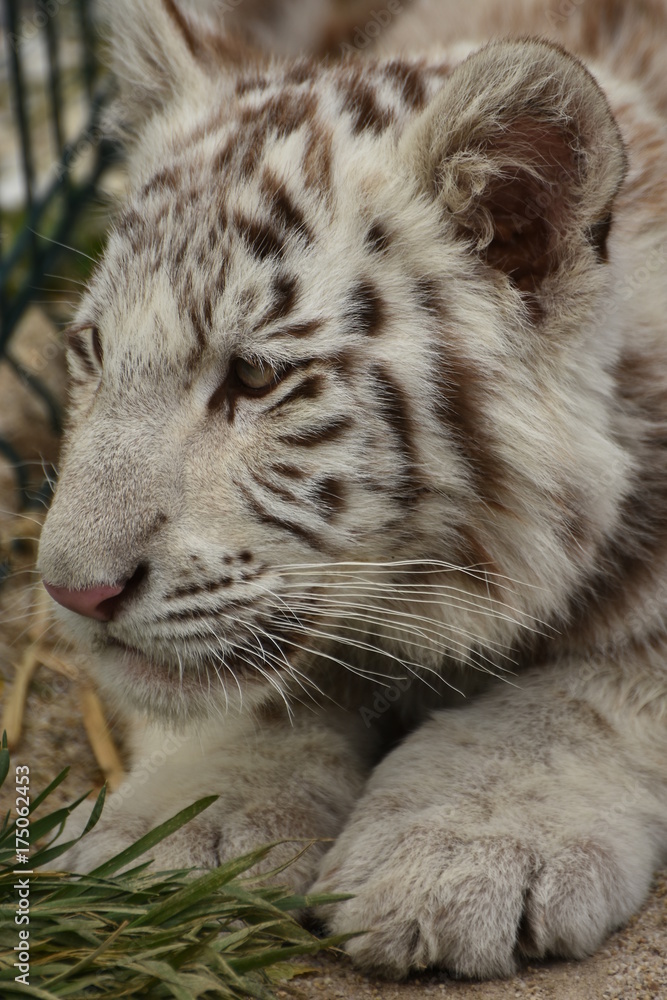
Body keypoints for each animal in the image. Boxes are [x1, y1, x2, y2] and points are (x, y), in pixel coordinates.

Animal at [38, 0, 667, 981]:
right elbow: (244, 695)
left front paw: (464, 847)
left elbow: (588, 693)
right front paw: (186, 823)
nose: (74, 592)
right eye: (91, 351)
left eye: (255, 378)